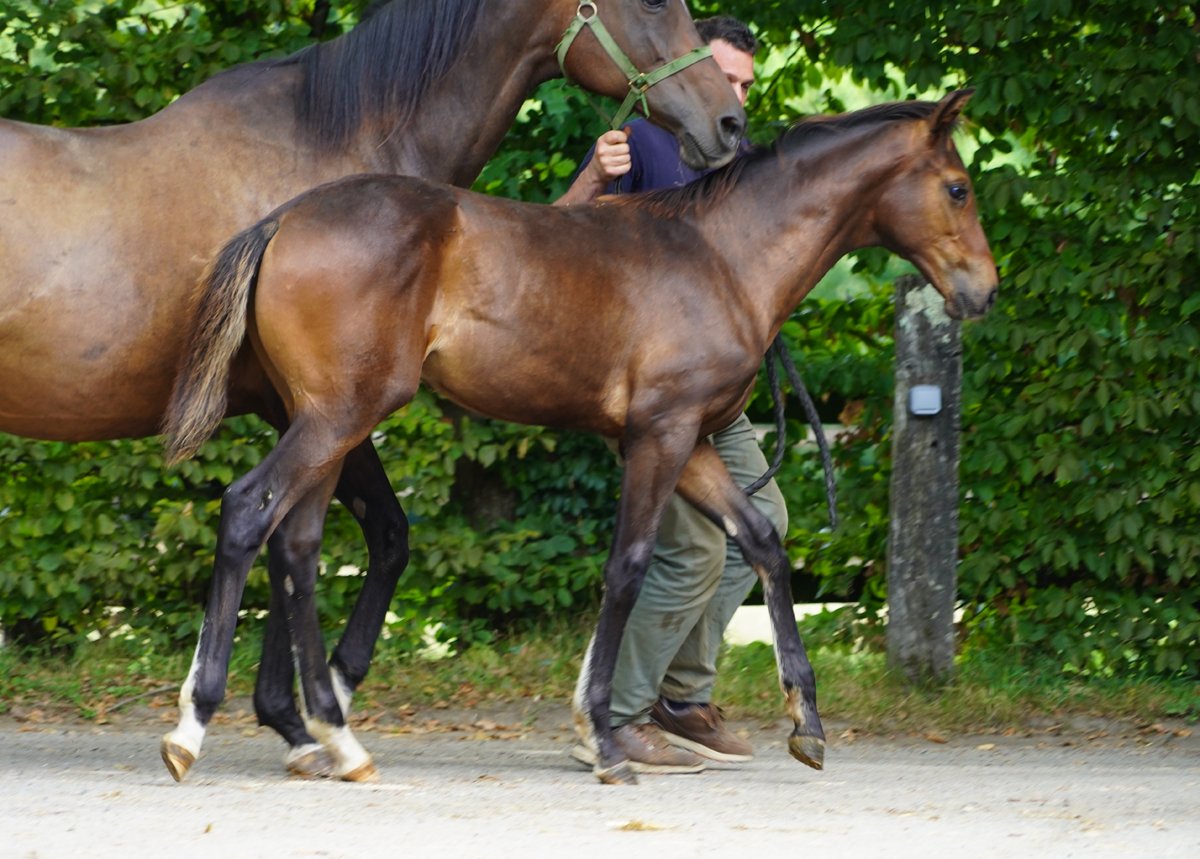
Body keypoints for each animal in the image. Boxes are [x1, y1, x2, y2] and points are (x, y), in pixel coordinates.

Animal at [0, 0, 744, 778]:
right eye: (654, 4)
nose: (727, 121)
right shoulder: (322, 412)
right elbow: (333, 539)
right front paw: (310, 710)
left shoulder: (312, 416)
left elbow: (342, 539)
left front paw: (298, 714)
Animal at [160, 89, 997, 784]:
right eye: (957, 187)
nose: (983, 291)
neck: (722, 254)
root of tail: (283, 219)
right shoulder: (659, 436)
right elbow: (627, 567)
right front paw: (603, 738)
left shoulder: (690, 440)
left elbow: (762, 540)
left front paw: (807, 723)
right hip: (338, 415)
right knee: (248, 511)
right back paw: (194, 728)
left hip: (331, 424)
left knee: (297, 547)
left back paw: (334, 736)